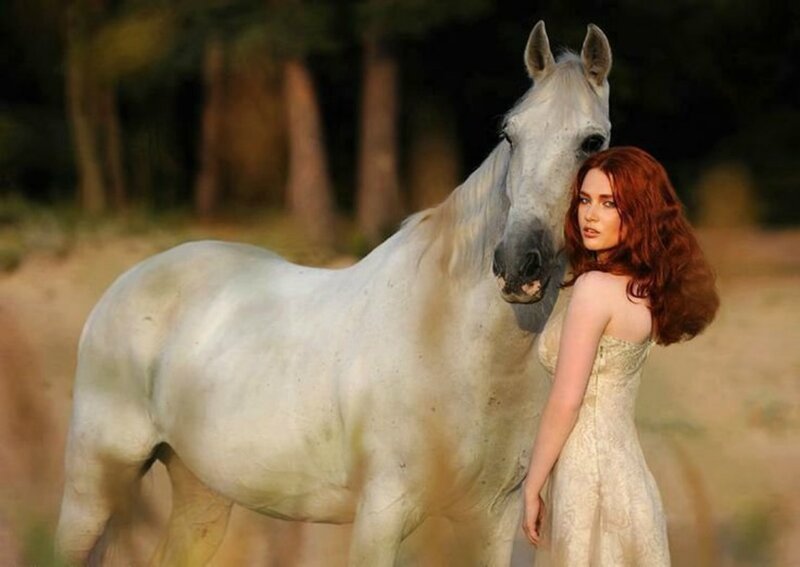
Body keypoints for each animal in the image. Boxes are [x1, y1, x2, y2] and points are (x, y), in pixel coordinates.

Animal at [56, 21, 612, 566]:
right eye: (510, 134)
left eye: (592, 141)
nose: (518, 266)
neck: (455, 346)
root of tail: (128, 282)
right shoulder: (381, 515)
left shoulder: (490, 522)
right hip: (94, 485)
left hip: (201, 494)